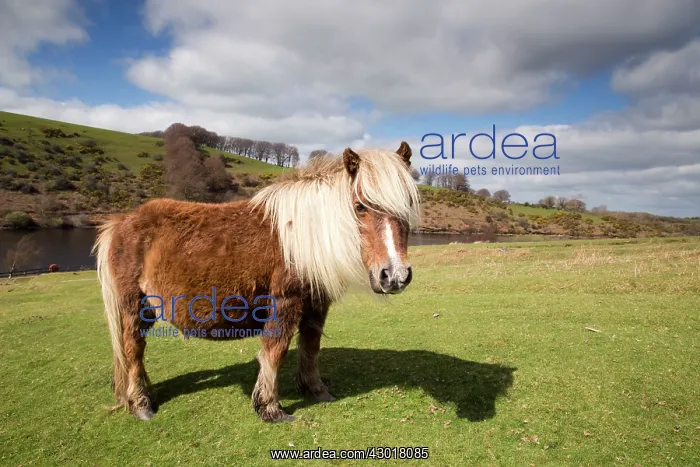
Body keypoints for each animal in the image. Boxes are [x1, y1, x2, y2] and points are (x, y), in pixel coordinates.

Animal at [92, 142, 421, 422]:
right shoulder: (285, 302)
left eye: (408, 203)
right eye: (360, 206)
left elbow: (310, 347)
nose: (394, 276)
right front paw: (270, 408)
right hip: (133, 306)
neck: (303, 236)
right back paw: (142, 405)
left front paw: (316, 390)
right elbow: (274, 352)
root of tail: (121, 222)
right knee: (133, 349)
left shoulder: (316, 305)